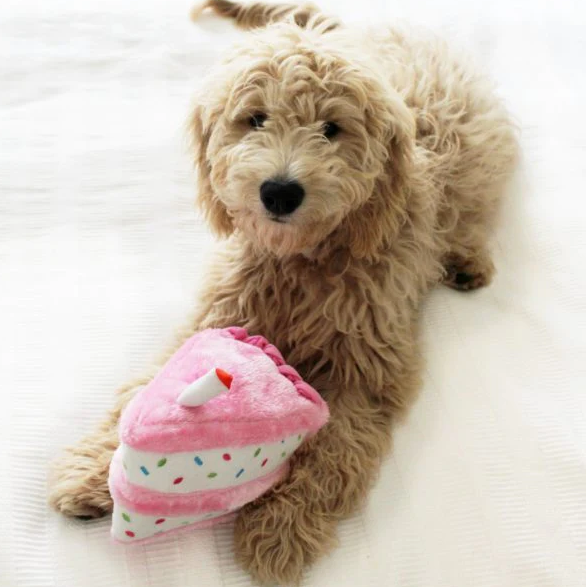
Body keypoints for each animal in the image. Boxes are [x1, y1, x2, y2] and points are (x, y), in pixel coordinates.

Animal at [49, 2, 516, 584]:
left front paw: (280, 530)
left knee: (473, 214)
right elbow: (143, 390)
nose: (279, 190)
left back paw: (466, 259)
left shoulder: (366, 372)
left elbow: (332, 452)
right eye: (255, 118)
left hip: (482, 164)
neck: (302, 260)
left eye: (331, 128)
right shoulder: (217, 315)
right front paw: (93, 467)